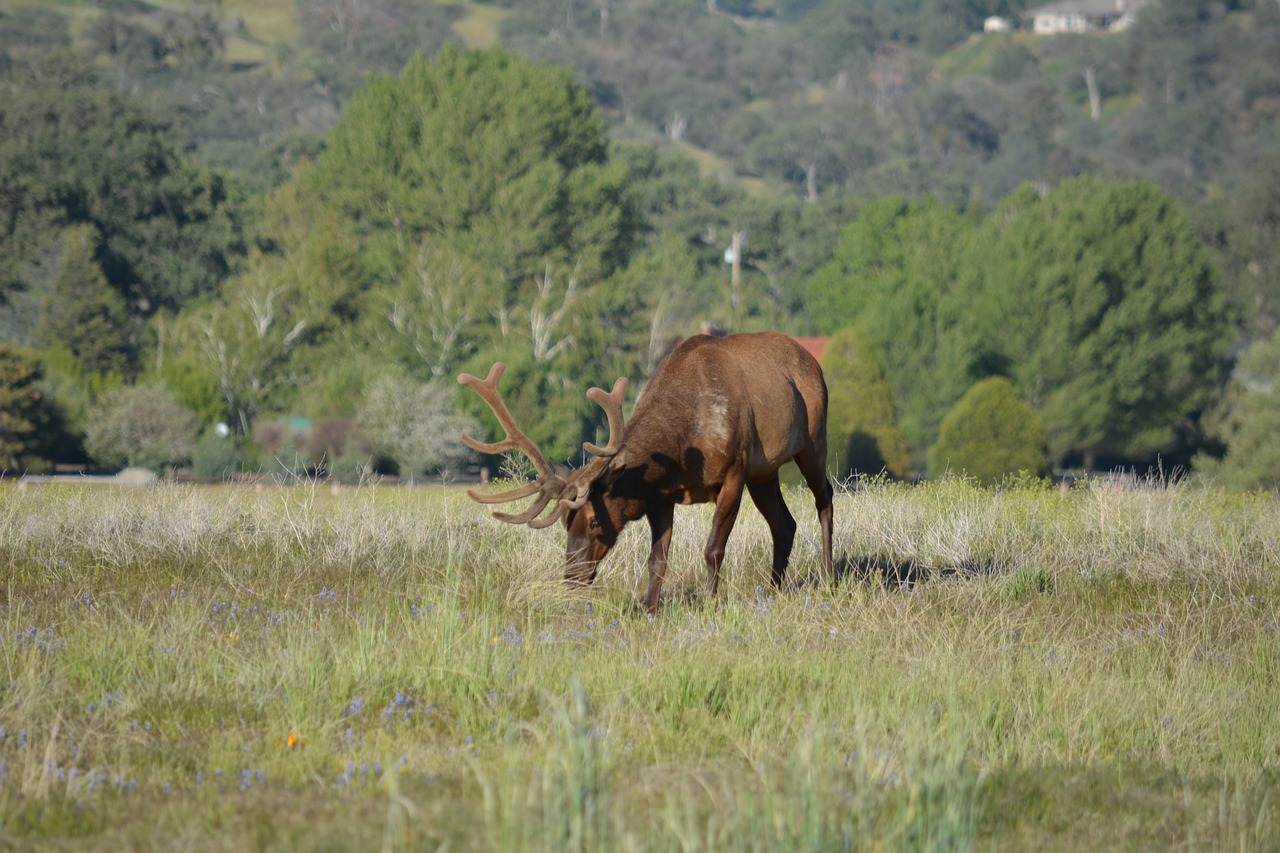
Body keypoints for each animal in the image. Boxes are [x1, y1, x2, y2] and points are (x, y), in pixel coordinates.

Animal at [455, 327, 834, 614]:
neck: (685, 448)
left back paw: (829, 578)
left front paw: (710, 603)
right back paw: (773, 590)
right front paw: (650, 610)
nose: (572, 578)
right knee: (784, 524)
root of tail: (814, 362)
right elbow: (657, 559)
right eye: (565, 522)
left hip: (812, 441)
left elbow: (713, 549)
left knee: (824, 498)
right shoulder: (661, 495)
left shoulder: (735, 473)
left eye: (594, 521)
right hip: (764, 472)